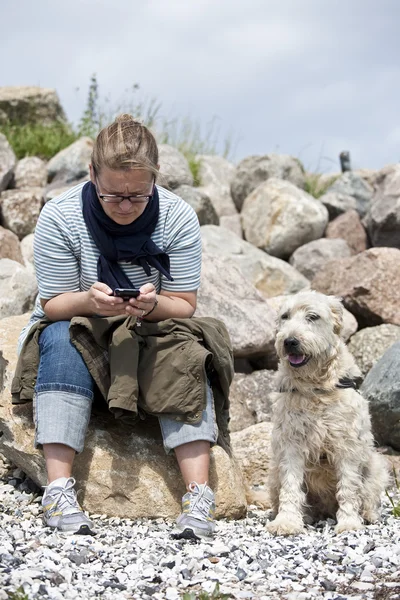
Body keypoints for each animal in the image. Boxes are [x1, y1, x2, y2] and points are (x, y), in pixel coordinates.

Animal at [268, 290, 390, 536]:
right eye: (285, 316)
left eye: (312, 317)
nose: (289, 341)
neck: (315, 388)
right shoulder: (291, 444)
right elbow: (290, 486)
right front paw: (287, 522)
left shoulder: (347, 445)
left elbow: (349, 487)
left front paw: (349, 522)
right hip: (274, 471)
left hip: (376, 465)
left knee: (369, 495)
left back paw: (368, 515)